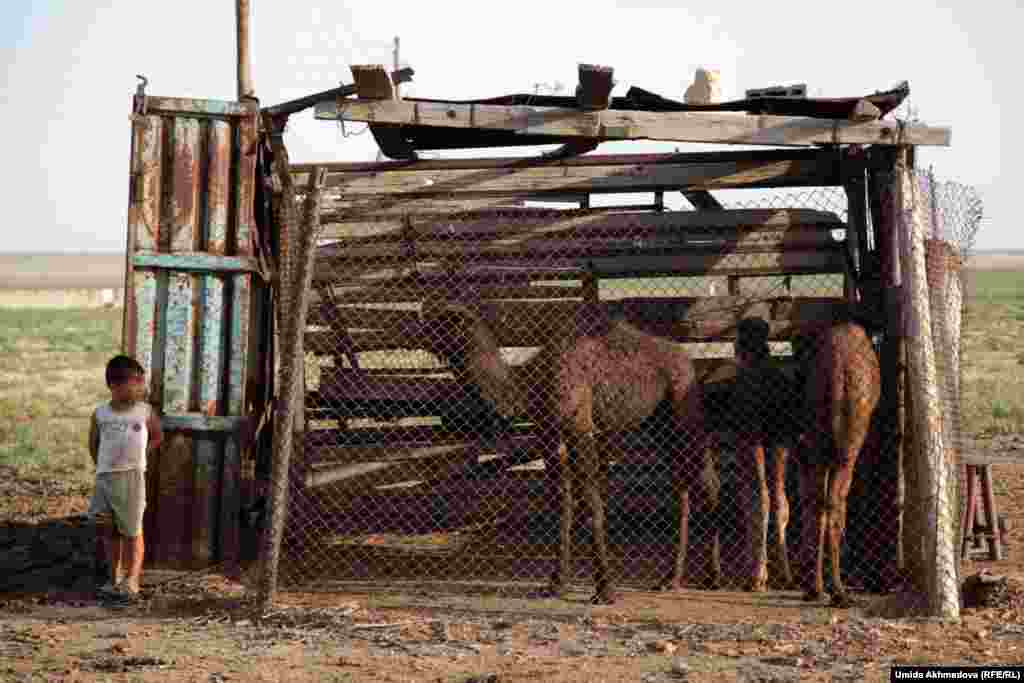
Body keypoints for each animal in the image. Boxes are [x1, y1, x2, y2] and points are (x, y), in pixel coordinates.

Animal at [423, 305, 720, 602]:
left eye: (443, 322)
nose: (421, 329)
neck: (533, 384)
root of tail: (689, 361)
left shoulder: (580, 428)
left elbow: (591, 502)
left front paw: (605, 590)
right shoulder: (548, 435)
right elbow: (561, 504)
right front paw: (556, 584)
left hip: (684, 412)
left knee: (708, 481)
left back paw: (712, 578)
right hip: (659, 426)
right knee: (681, 485)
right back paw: (670, 580)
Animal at [737, 317, 880, 606]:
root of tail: (839, 370)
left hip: (815, 439)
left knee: (800, 499)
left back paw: (811, 586)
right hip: (842, 443)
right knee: (828, 502)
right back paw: (831, 589)